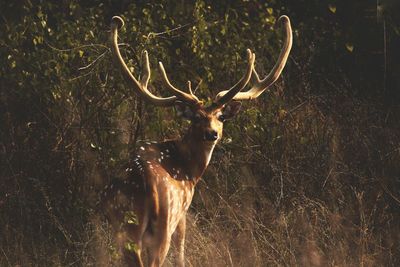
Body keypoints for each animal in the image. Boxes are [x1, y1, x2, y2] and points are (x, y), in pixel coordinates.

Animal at [101, 15, 292, 267]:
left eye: (220, 116)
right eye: (198, 118)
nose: (212, 133)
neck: (190, 170)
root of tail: (145, 185)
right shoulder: (184, 211)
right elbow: (181, 254)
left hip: (121, 224)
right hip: (164, 221)